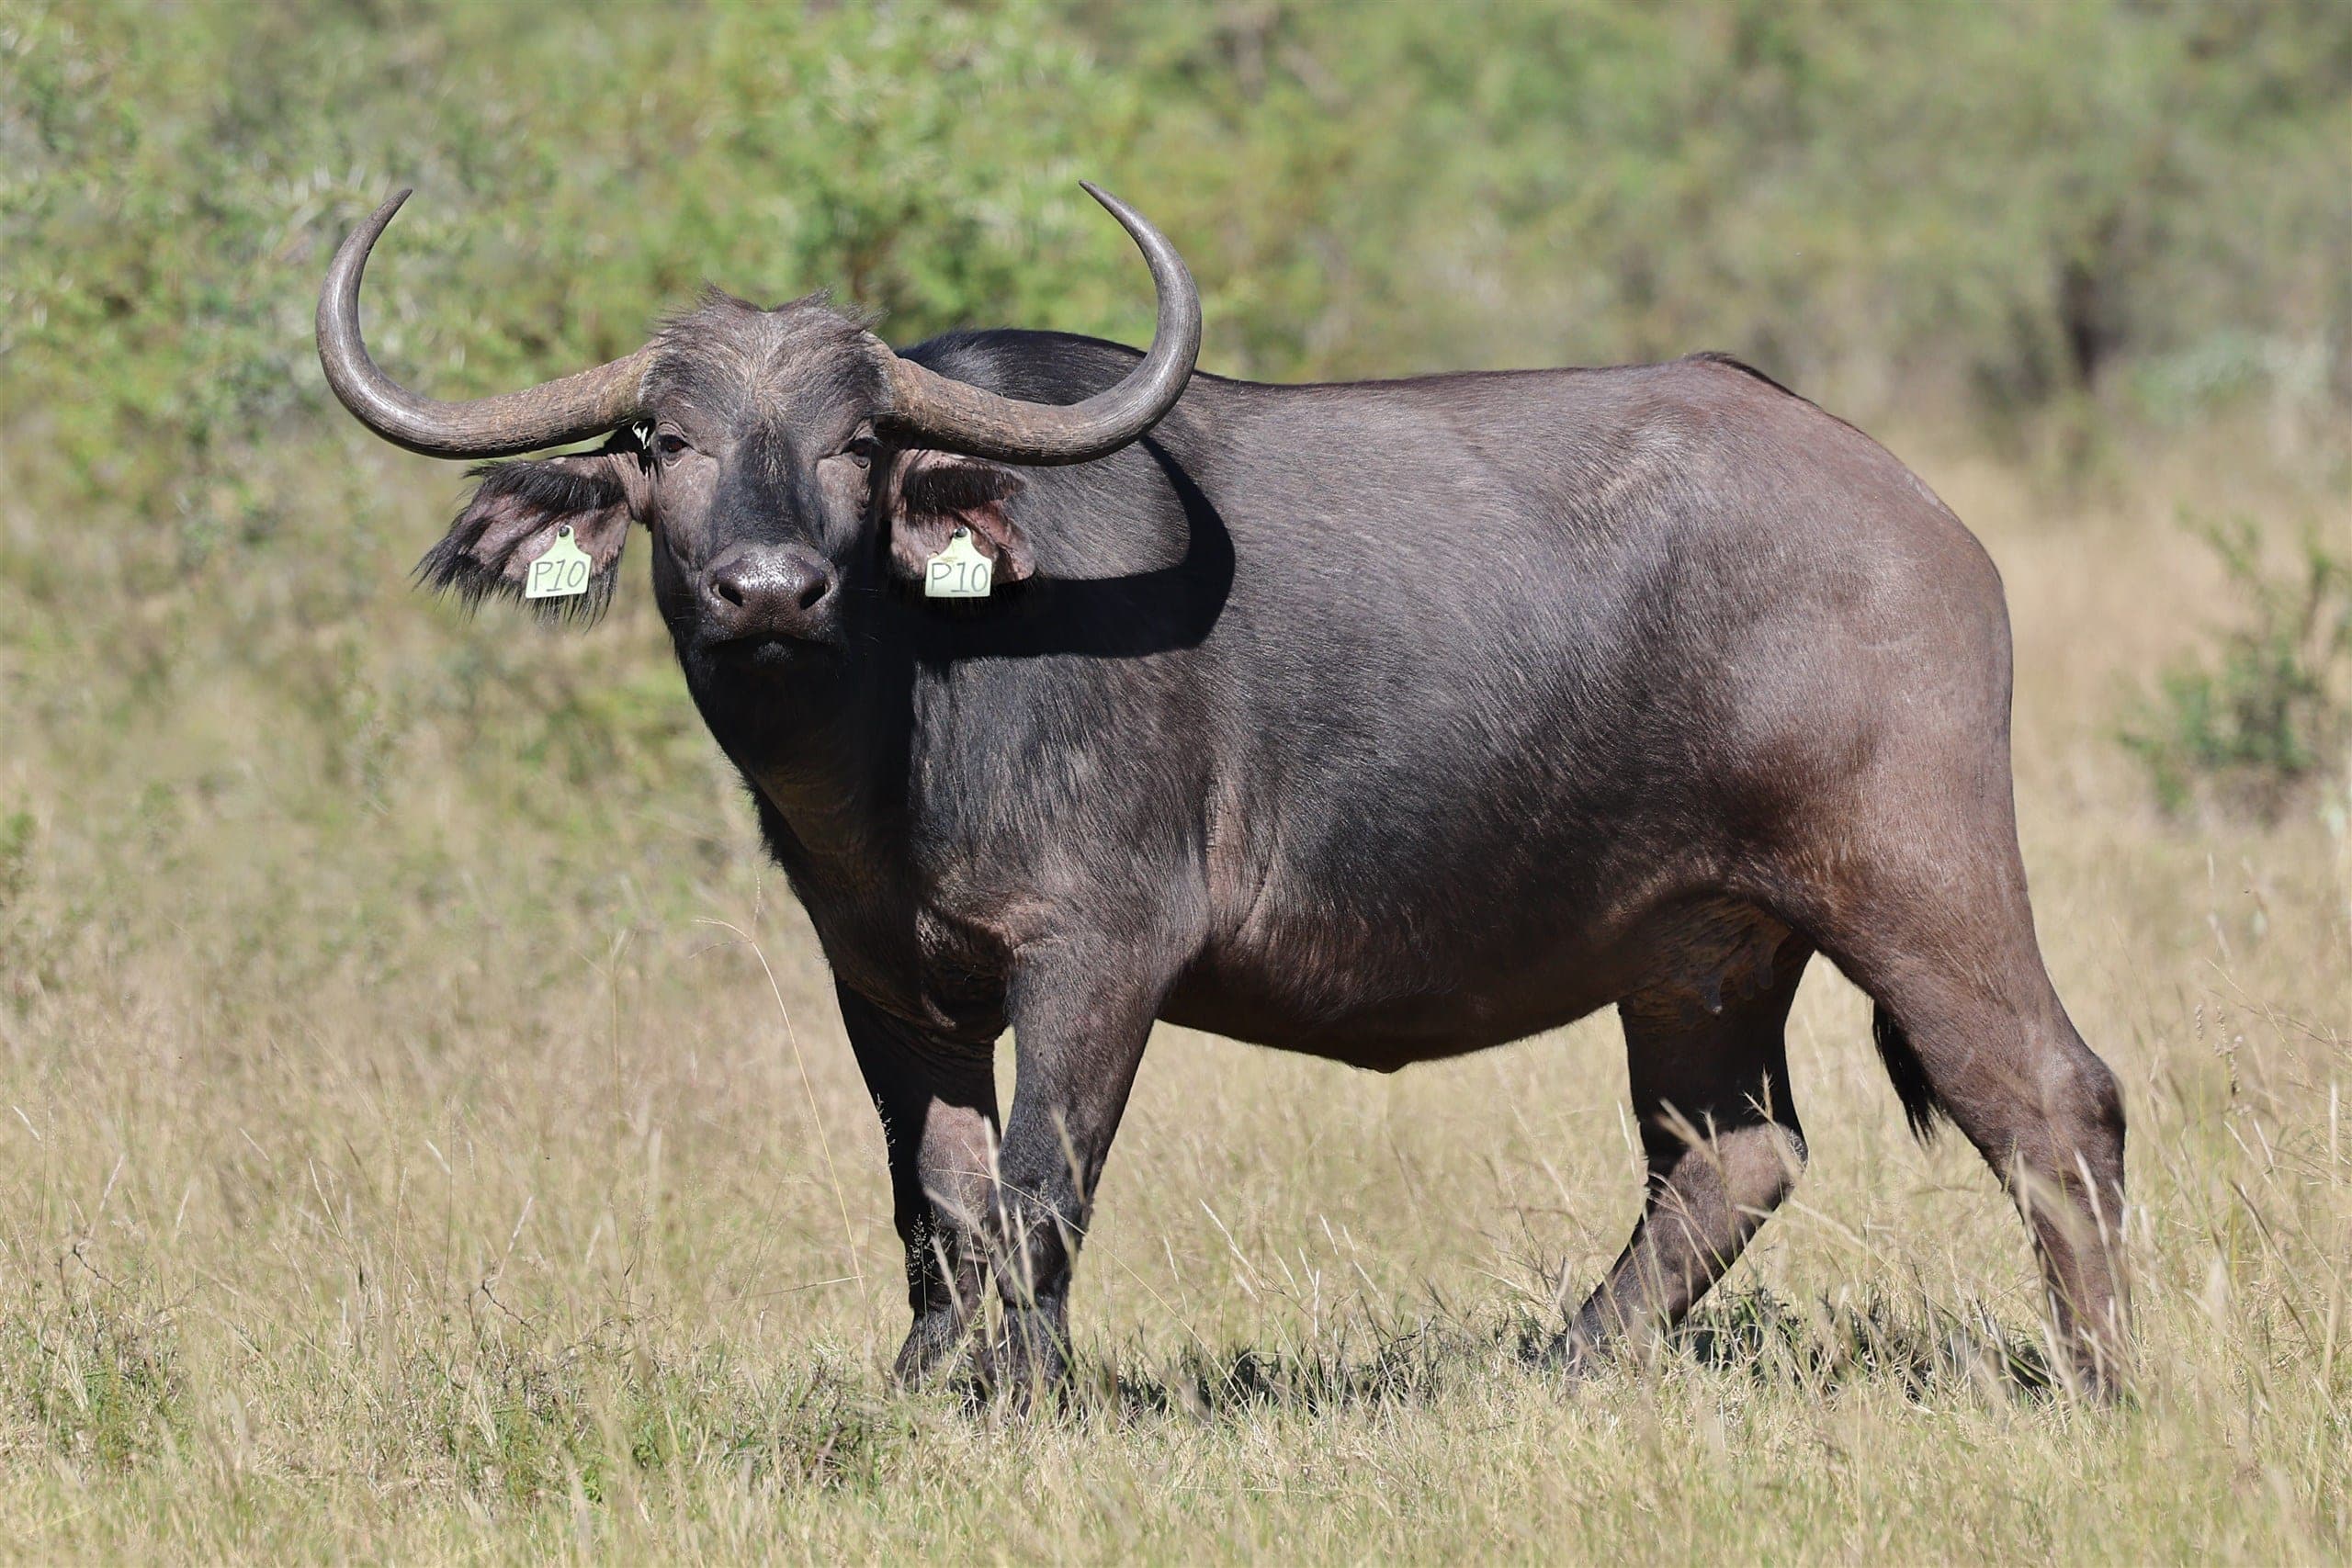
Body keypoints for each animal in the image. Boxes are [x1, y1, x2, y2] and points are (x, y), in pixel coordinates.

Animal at [317, 185, 2128, 1397]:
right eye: (664, 440)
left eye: (854, 445)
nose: (768, 587)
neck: (911, 710)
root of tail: (1918, 515)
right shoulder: (885, 983)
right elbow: (937, 1205)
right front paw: (919, 1393)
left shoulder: (1100, 956)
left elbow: (1042, 1190)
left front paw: (1025, 1398)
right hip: (1698, 950)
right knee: (1728, 1153)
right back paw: (1554, 1364)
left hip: (1914, 871)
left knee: (2053, 1099)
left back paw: (2100, 1379)